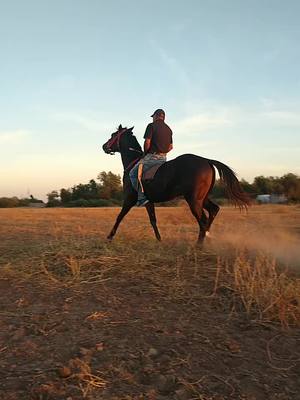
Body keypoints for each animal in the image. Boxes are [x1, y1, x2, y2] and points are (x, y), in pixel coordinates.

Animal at [102, 124, 250, 244]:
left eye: (113, 135)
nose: (104, 146)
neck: (133, 162)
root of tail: (206, 160)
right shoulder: (148, 201)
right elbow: (153, 220)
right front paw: (159, 239)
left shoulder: (129, 198)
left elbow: (119, 216)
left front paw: (109, 237)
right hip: (202, 198)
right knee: (213, 211)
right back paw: (207, 237)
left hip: (193, 200)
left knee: (202, 219)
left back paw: (200, 244)